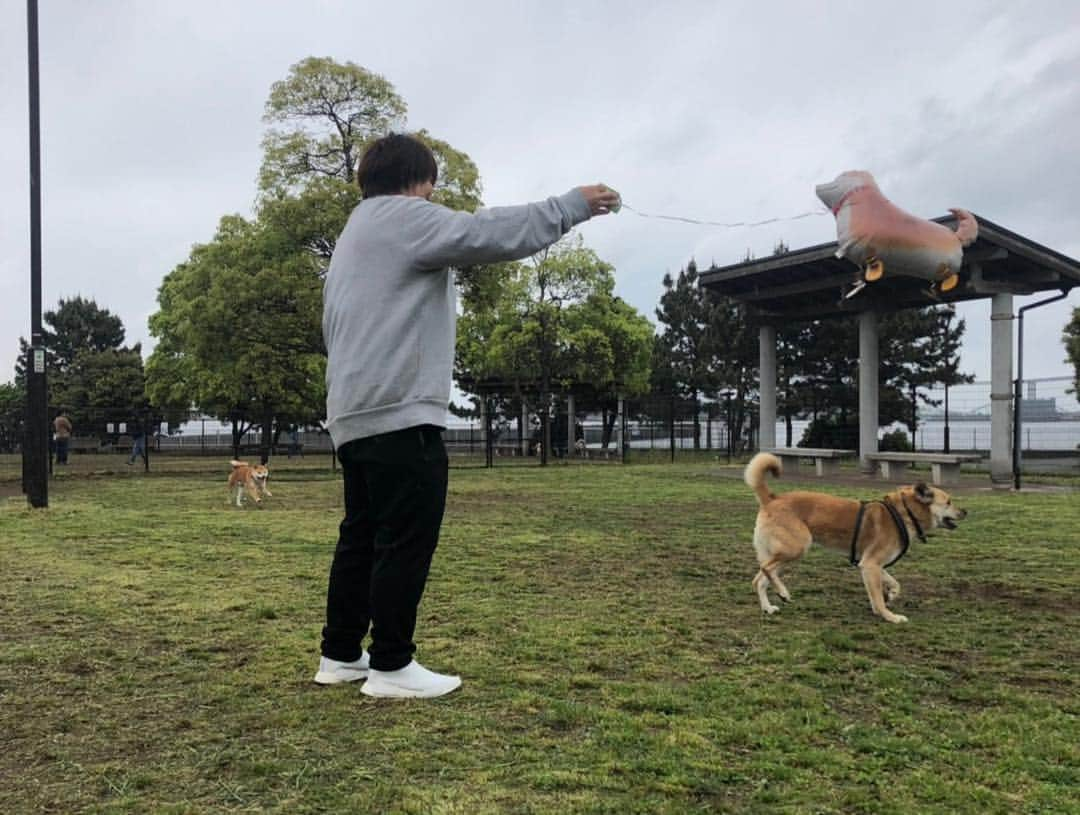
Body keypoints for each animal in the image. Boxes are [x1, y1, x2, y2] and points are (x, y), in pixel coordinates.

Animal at [747, 453, 967, 626]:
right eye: (948, 502)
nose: (966, 511)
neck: (903, 513)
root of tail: (772, 498)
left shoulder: (870, 564)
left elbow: (894, 585)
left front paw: (891, 596)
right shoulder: (870, 565)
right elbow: (878, 597)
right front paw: (889, 616)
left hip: (783, 555)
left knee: (759, 580)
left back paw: (768, 607)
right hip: (797, 547)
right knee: (765, 570)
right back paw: (783, 592)